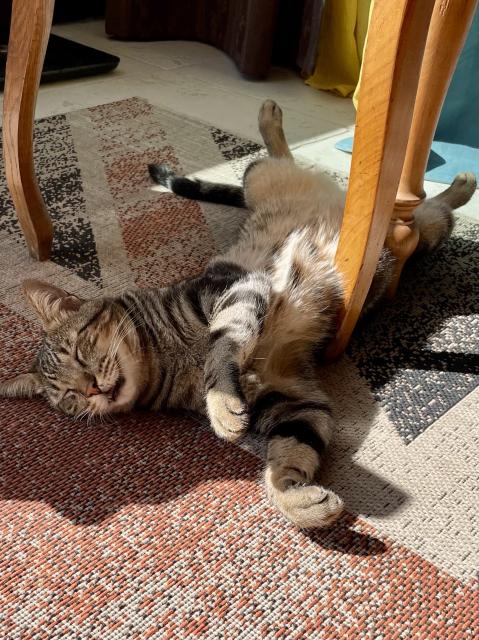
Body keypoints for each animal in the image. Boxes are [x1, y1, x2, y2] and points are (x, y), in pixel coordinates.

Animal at [0, 101, 476, 528]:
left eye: (80, 352)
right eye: (67, 397)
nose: (92, 390)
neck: (167, 363)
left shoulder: (235, 290)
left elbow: (221, 345)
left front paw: (222, 405)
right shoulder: (292, 396)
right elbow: (293, 450)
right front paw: (294, 499)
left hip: (277, 186)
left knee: (291, 164)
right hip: (399, 237)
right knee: (422, 213)